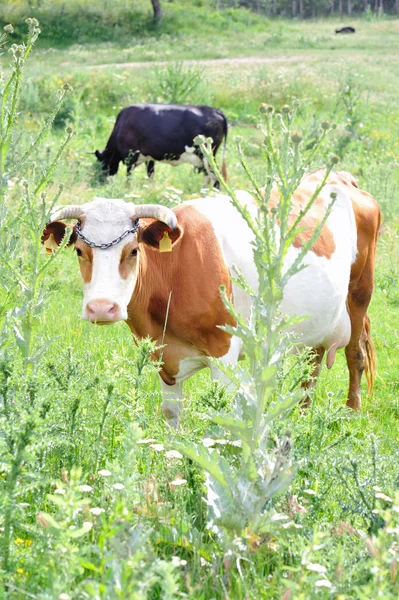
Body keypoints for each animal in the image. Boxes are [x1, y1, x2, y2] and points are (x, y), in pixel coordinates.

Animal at [42, 171, 382, 428]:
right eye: (79, 251)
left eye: (134, 250)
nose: (101, 308)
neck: (176, 270)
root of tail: (341, 178)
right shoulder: (164, 356)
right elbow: (171, 413)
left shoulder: (224, 350)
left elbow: (224, 414)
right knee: (311, 365)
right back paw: (300, 418)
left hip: (359, 294)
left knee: (355, 355)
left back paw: (352, 414)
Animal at [94, 103, 230, 188]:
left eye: (102, 163)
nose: (101, 182)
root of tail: (216, 110)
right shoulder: (149, 158)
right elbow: (151, 175)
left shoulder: (131, 155)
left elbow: (129, 176)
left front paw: (127, 190)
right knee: (208, 178)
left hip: (208, 155)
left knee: (216, 178)